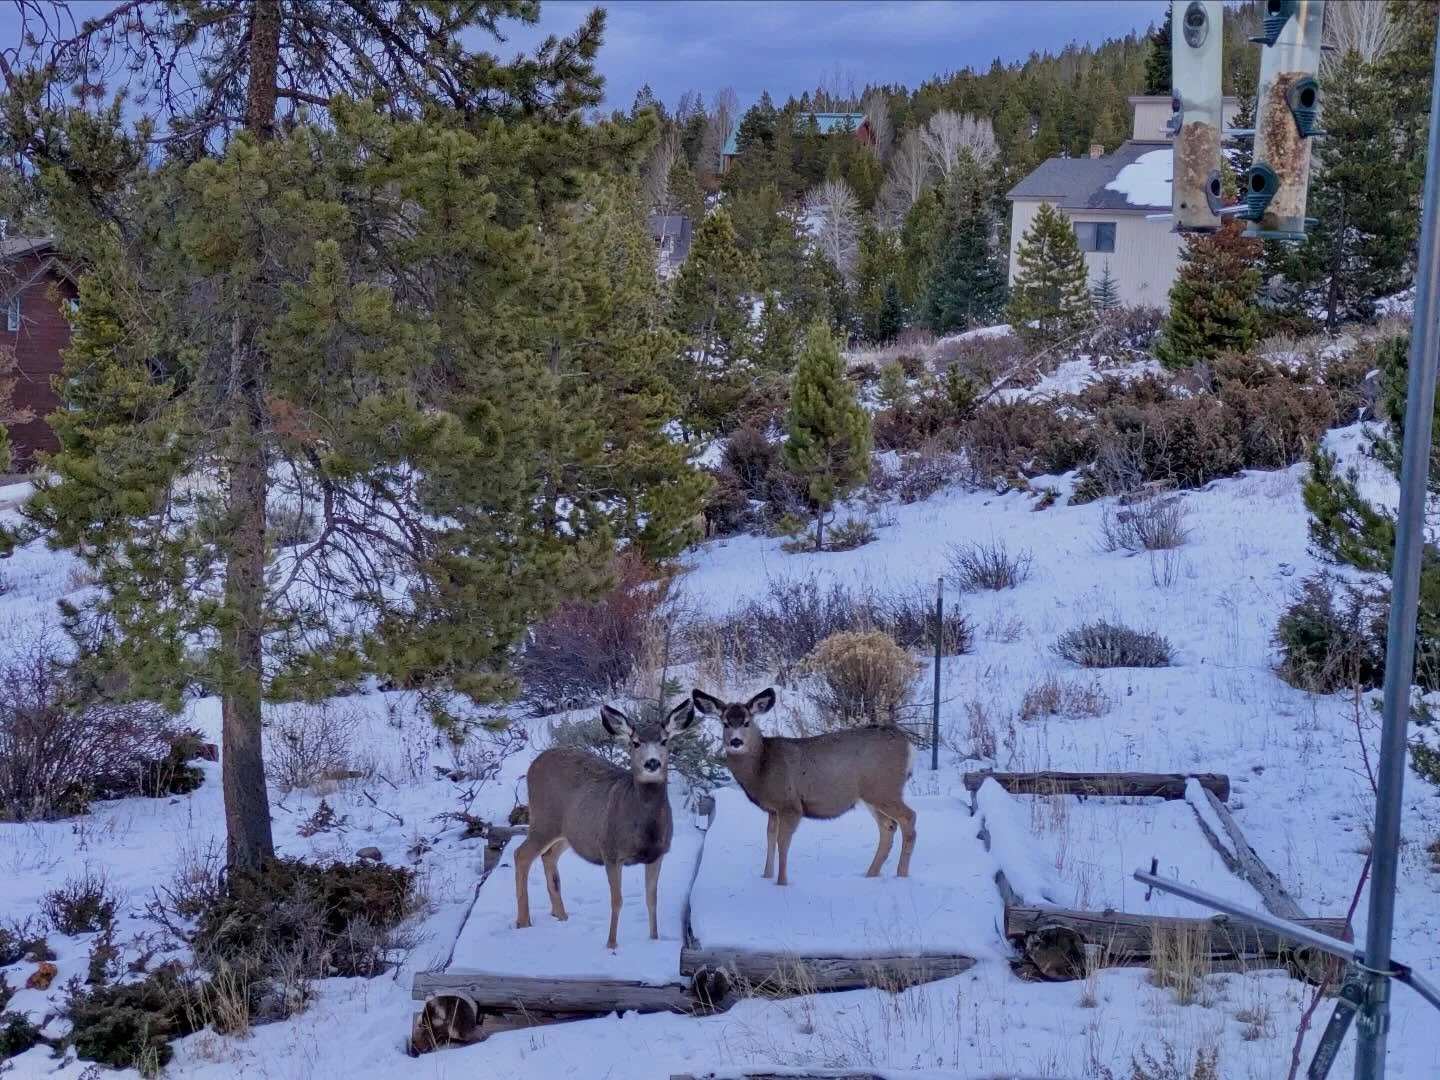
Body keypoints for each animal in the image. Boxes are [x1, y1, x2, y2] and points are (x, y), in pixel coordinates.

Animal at [514, 698, 698, 949]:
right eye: (635, 742)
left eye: (664, 740)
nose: (652, 763)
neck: (643, 829)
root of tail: (534, 763)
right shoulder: (610, 851)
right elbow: (617, 900)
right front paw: (611, 945)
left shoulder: (657, 854)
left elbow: (652, 899)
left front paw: (653, 939)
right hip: (544, 819)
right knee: (521, 855)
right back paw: (523, 922)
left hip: (569, 831)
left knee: (548, 856)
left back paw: (561, 914)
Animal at [691, 687, 916, 887]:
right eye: (725, 723)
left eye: (747, 722)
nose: (736, 742)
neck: (762, 767)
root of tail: (907, 743)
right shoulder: (773, 810)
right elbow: (769, 838)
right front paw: (765, 876)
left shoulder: (790, 805)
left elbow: (782, 843)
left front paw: (781, 883)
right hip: (872, 794)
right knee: (888, 826)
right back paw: (870, 874)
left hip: (885, 788)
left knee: (908, 817)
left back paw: (901, 875)